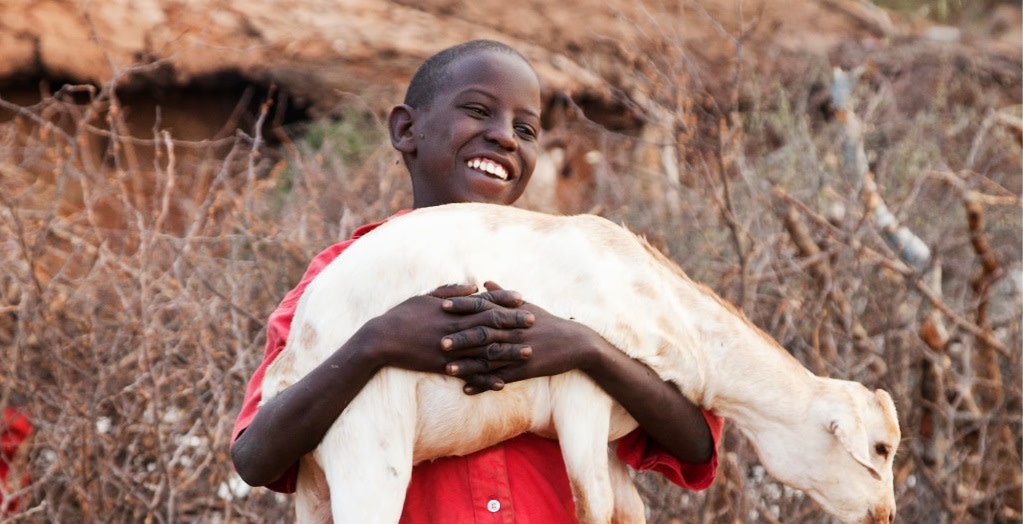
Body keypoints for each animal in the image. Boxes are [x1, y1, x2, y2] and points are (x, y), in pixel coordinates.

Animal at [262, 202, 901, 524]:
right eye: (879, 449)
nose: (885, 513)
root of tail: (292, 363)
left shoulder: (617, 440)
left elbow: (627, 511)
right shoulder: (581, 402)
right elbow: (591, 508)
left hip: (315, 486)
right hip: (368, 450)